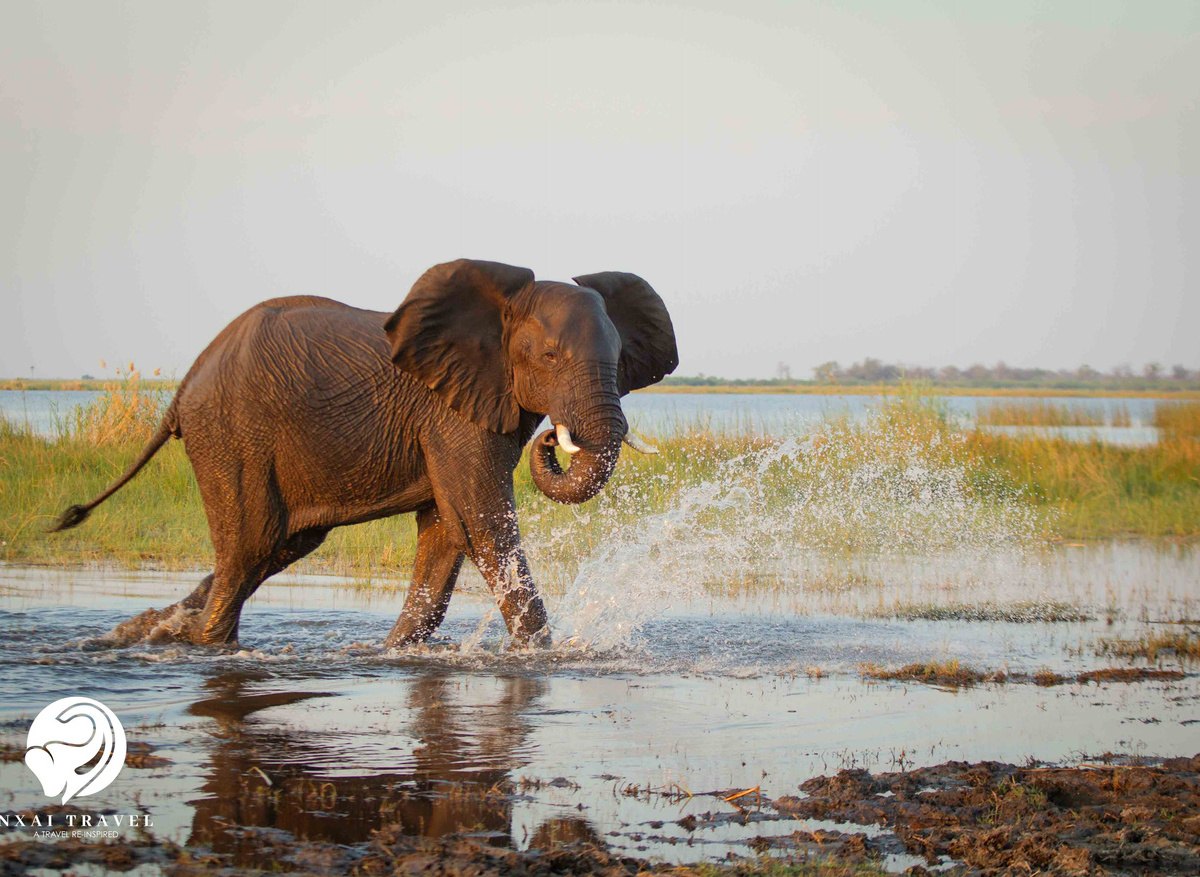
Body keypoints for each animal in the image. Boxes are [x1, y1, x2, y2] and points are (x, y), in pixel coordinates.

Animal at [52, 259, 677, 648]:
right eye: (549, 357)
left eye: (621, 359)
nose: (553, 437)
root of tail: (183, 388)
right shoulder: (451, 413)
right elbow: (481, 523)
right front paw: (546, 657)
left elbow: (446, 530)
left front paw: (392, 654)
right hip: (231, 437)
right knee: (248, 547)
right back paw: (202, 642)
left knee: (279, 545)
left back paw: (149, 633)